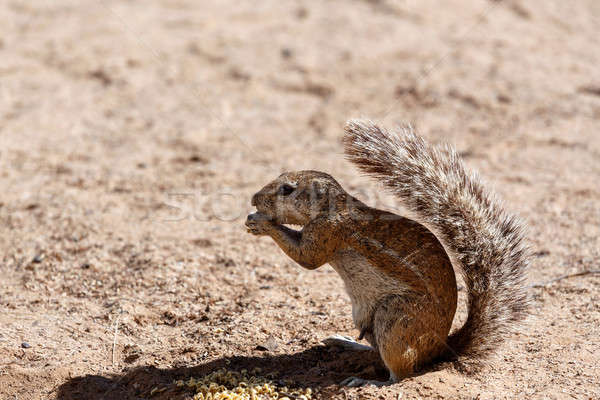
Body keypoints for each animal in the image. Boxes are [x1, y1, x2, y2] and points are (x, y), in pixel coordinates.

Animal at [246, 119, 528, 388]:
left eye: (287, 189)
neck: (334, 208)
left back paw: (368, 381)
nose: (253, 199)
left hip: (394, 318)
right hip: (367, 319)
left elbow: (306, 257)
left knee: (400, 373)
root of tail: (441, 349)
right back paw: (347, 342)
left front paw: (261, 222)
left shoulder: (327, 233)